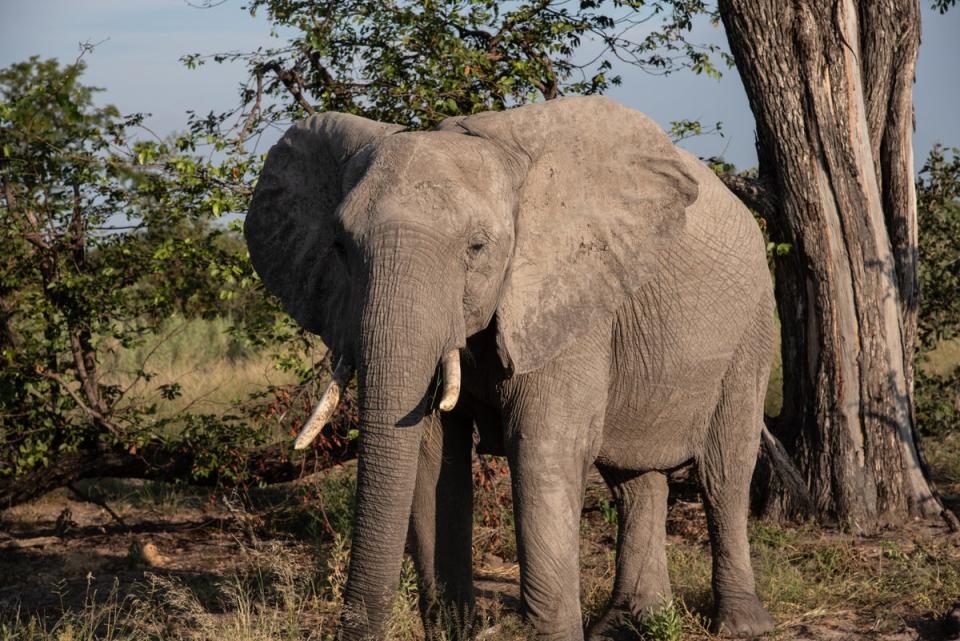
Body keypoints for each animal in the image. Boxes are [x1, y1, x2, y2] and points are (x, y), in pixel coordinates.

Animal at [244, 96, 776, 640]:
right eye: (340, 248)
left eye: (476, 247)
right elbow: (433, 458)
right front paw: (455, 632)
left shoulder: (564, 299)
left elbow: (543, 449)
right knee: (633, 482)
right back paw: (630, 624)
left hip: (752, 323)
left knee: (724, 471)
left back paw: (741, 626)